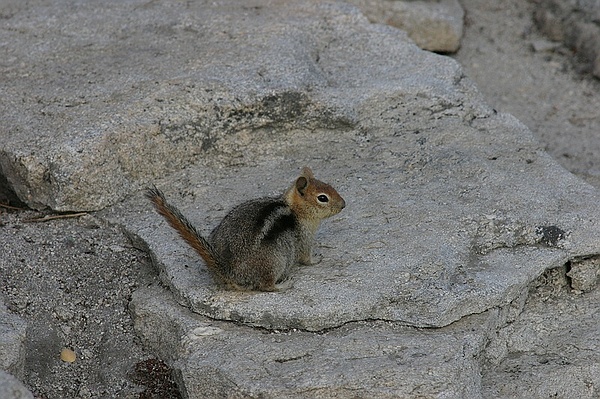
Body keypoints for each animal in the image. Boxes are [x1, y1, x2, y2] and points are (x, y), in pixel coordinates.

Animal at [145, 167, 344, 292]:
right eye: (323, 198)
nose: (344, 204)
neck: (293, 209)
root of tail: (228, 271)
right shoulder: (304, 237)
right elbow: (306, 257)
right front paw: (316, 259)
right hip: (275, 262)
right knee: (265, 286)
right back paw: (283, 285)